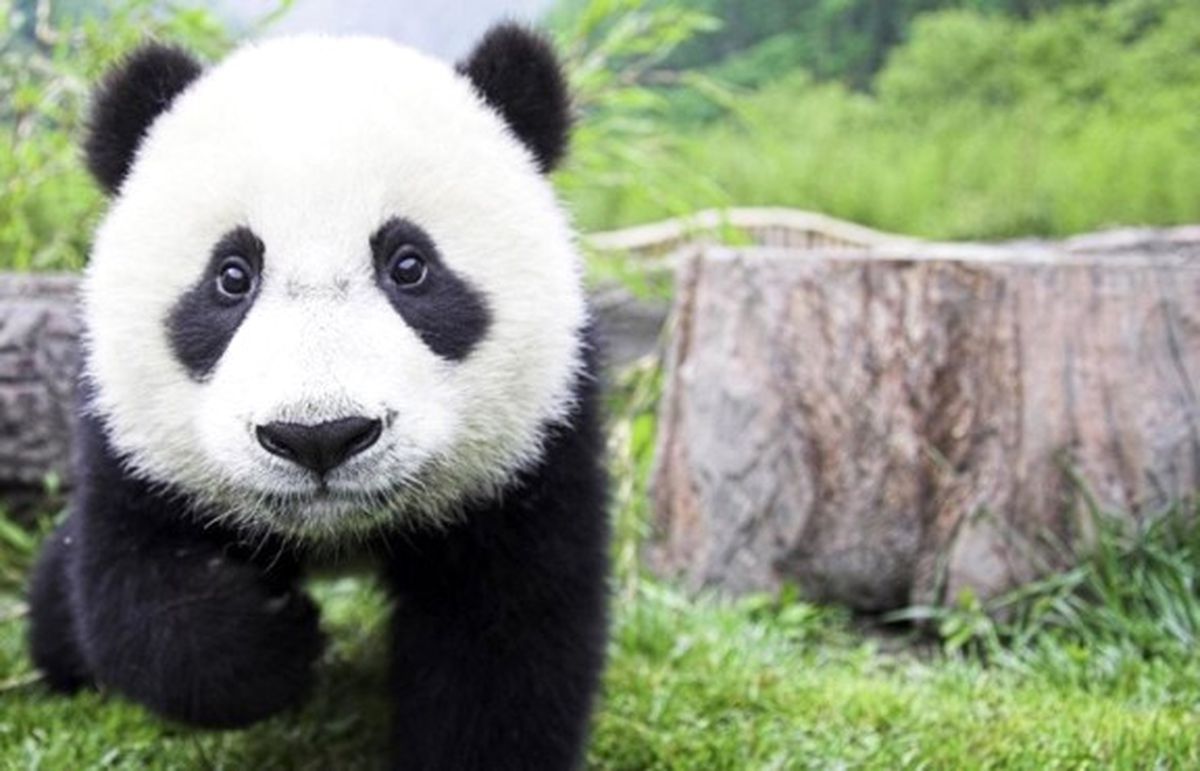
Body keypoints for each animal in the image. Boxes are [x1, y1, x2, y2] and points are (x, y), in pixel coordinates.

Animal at [26, 25, 609, 771]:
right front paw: (274, 637)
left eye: (409, 266)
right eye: (232, 276)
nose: (320, 436)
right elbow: (136, 590)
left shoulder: (536, 442)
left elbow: (505, 640)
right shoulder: (126, 439)